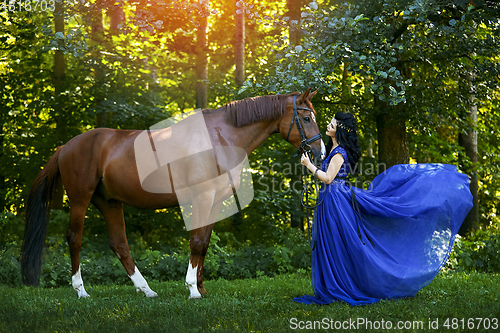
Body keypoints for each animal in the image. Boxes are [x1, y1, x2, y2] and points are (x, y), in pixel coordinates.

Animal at [19, 88, 324, 298]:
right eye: (306, 117)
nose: (320, 152)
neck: (220, 137)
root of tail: (66, 146)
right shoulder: (202, 197)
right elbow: (196, 243)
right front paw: (192, 289)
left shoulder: (215, 202)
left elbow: (204, 242)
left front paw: (201, 288)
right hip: (80, 200)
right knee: (75, 238)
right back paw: (81, 291)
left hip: (109, 202)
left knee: (120, 245)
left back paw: (146, 290)